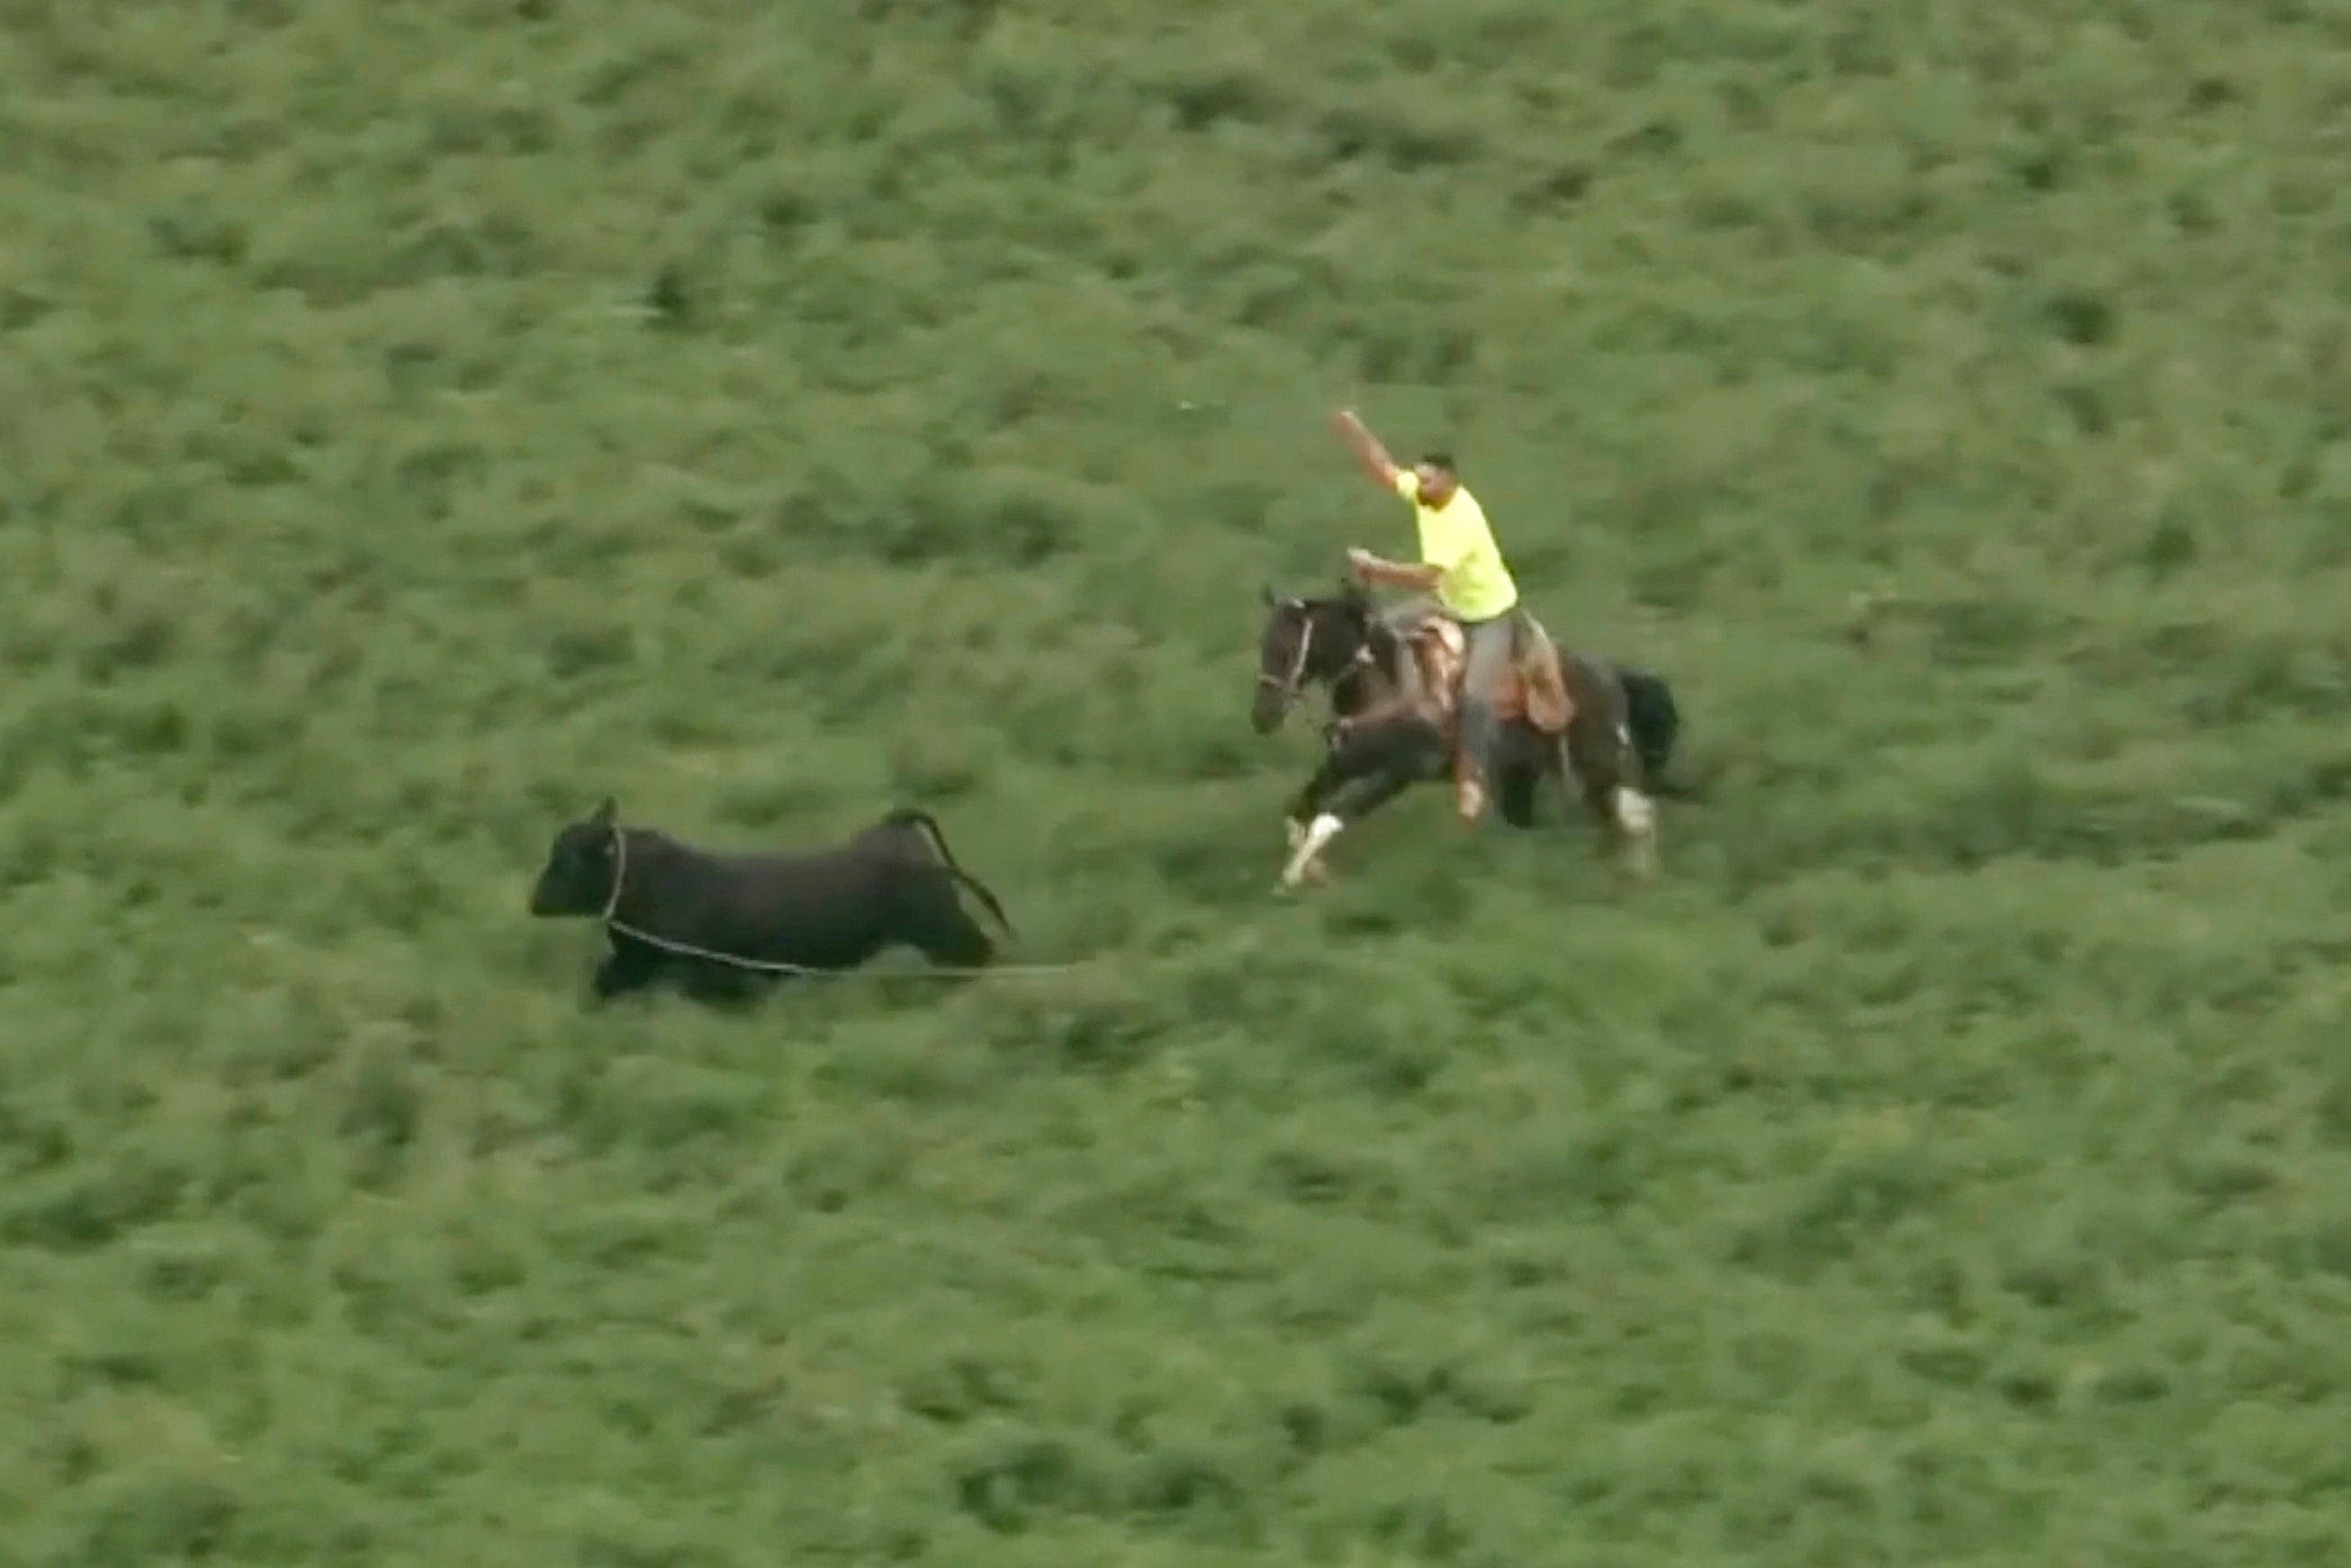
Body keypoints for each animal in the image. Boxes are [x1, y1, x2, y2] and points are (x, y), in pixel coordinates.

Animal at [527, 797, 1016, 1002]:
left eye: (569, 861)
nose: (533, 901)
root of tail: (894, 826)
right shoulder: (636, 962)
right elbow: (602, 985)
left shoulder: (709, 974)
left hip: (942, 928)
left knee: (979, 955)